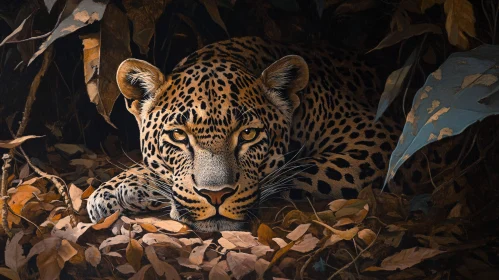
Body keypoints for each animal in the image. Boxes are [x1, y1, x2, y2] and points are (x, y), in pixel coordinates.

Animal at [85, 36, 426, 231]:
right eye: (179, 136)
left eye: (248, 134)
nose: (216, 195)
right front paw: (112, 189)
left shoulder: (377, 139)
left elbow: (296, 171)